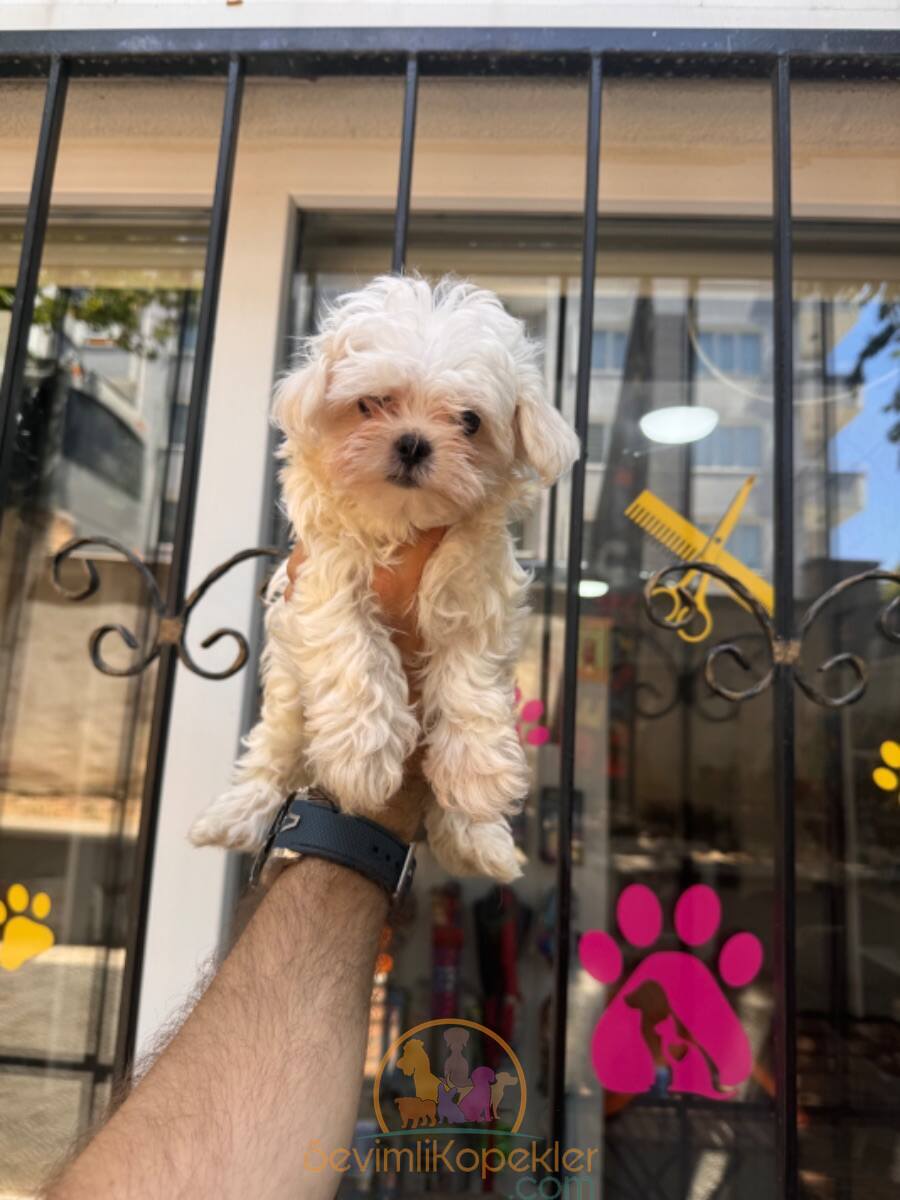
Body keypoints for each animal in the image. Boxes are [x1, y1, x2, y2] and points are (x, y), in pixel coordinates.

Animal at [193, 274, 580, 883]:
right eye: (371, 403)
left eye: (469, 421)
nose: (413, 442)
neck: (401, 523)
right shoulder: (323, 575)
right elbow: (353, 646)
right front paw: (362, 756)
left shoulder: (478, 591)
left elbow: (471, 673)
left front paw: (477, 773)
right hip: (286, 699)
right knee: (272, 753)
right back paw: (235, 814)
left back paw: (479, 840)